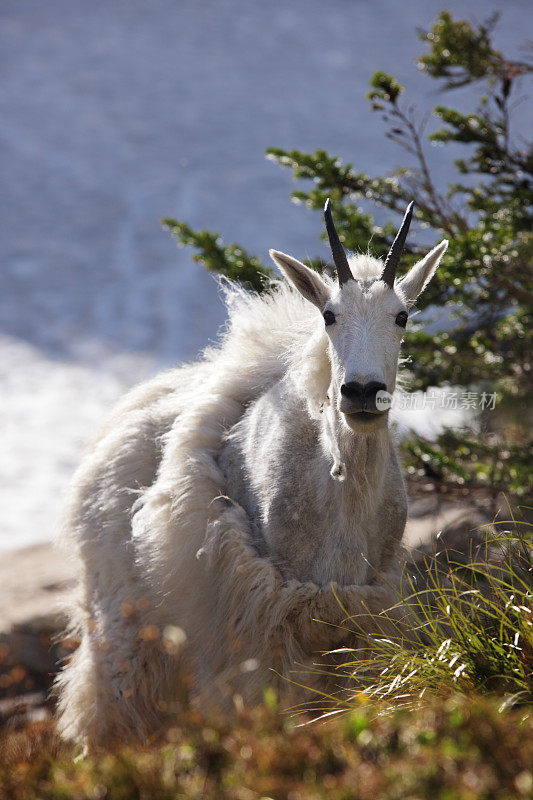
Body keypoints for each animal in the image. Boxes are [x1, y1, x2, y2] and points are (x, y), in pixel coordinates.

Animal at [56, 200, 446, 752]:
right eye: (329, 316)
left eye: (402, 315)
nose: (362, 393)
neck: (345, 490)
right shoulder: (268, 618)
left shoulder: (358, 614)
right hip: (122, 619)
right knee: (110, 706)